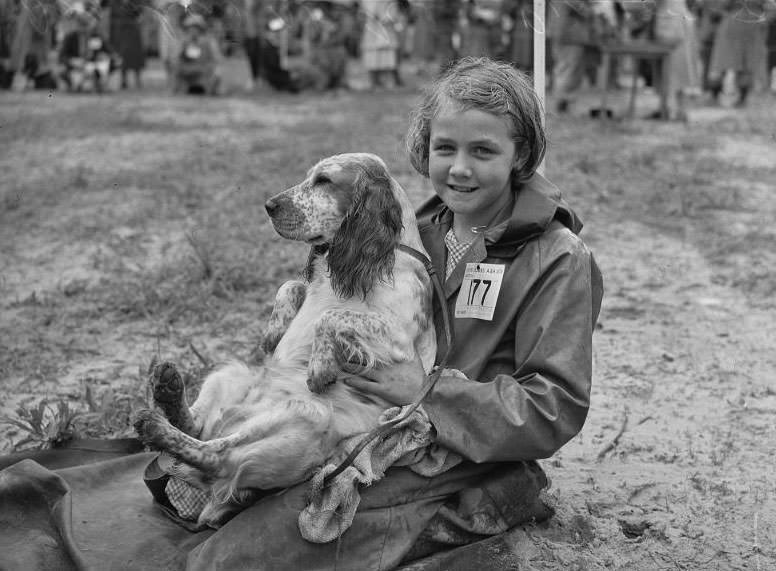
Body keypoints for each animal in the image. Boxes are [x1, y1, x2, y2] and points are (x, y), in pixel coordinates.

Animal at [134, 152, 436, 528]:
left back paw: (155, 426)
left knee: (216, 453)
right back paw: (168, 388)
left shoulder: (401, 341)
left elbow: (330, 315)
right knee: (199, 427)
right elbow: (291, 286)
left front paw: (319, 368)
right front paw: (273, 334)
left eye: (324, 181)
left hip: (306, 416)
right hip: (231, 374)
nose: (269, 205)